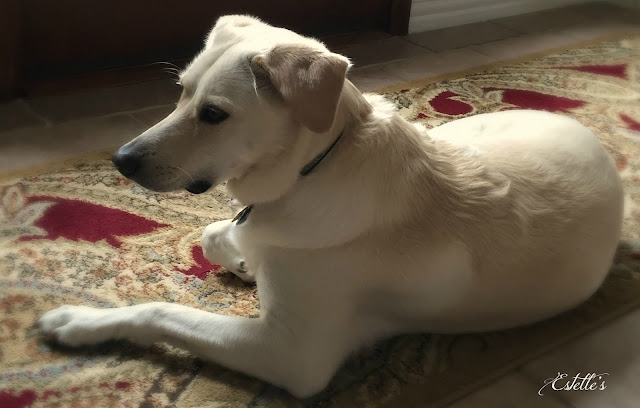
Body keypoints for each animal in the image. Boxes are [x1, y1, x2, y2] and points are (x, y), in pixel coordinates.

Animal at [39, 15, 624, 398]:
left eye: (214, 114)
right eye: (181, 91)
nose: (121, 160)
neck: (311, 171)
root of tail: (592, 136)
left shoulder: (290, 354)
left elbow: (162, 309)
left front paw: (80, 321)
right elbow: (210, 234)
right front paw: (245, 259)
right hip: (464, 130)